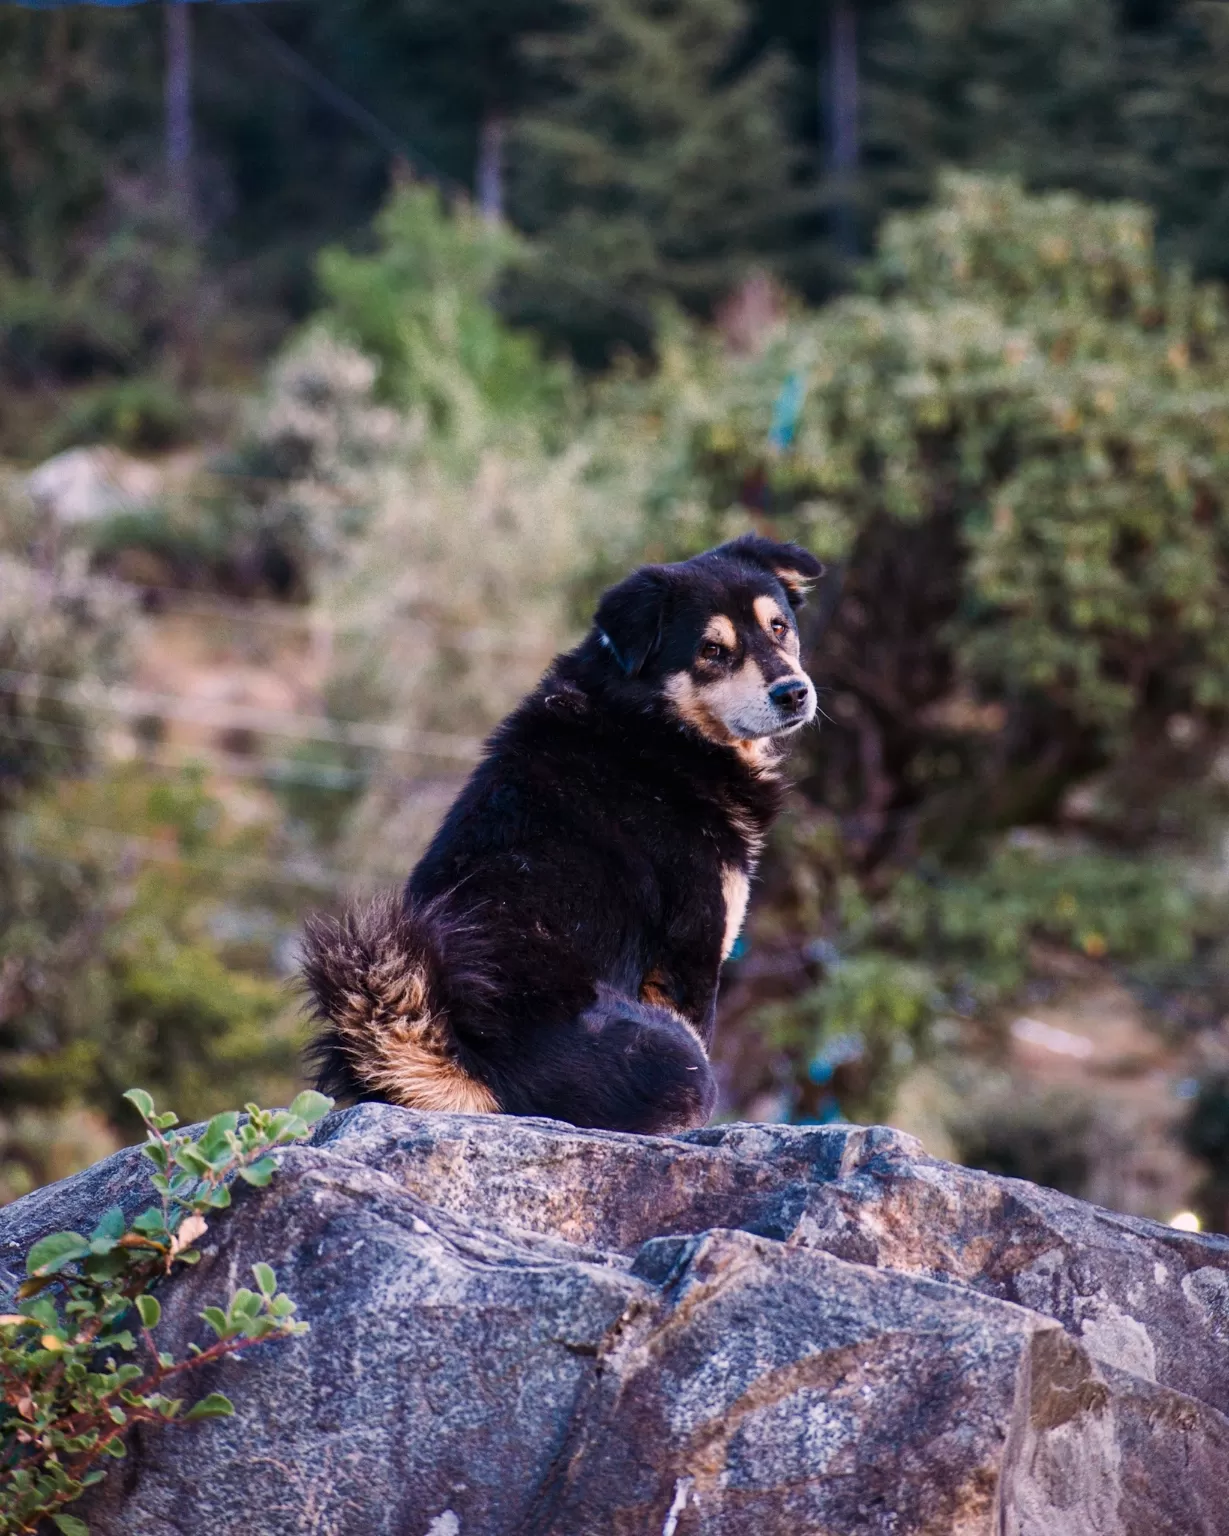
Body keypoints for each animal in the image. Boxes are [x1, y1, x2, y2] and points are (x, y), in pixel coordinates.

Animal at [304, 534, 823, 1136]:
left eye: (779, 626)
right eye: (711, 651)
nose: (794, 693)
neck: (656, 726)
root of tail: (474, 1067)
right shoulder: (692, 957)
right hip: (679, 1055)